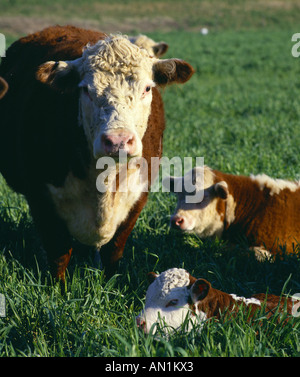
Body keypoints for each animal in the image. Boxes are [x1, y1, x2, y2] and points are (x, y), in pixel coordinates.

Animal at [0, 25, 195, 288]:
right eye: (85, 90)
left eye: (147, 88)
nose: (118, 141)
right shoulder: (40, 197)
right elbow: (58, 252)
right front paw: (58, 289)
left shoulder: (138, 198)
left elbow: (114, 250)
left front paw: (111, 284)